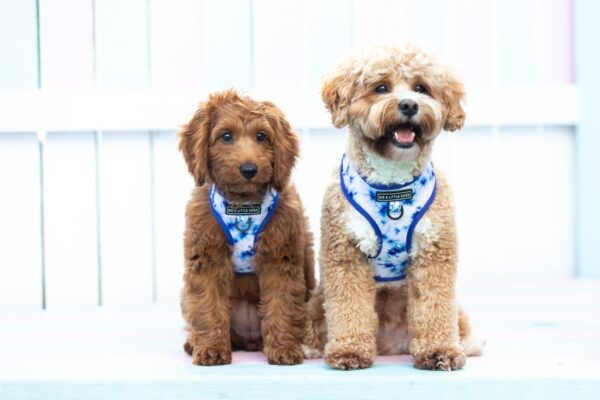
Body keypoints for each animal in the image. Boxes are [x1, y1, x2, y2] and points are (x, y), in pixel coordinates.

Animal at [179, 90, 314, 366]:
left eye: (261, 136)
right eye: (226, 136)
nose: (249, 169)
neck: (243, 204)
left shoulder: (280, 257)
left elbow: (282, 303)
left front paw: (284, 349)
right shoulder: (206, 257)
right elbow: (207, 307)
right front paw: (211, 350)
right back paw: (193, 343)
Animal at [308, 43, 486, 368]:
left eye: (421, 88)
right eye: (381, 87)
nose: (409, 105)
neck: (392, 190)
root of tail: (390, 346)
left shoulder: (434, 252)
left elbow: (435, 305)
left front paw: (440, 350)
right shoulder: (345, 253)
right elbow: (349, 307)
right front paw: (349, 350)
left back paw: (468, 342)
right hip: (316, 301)